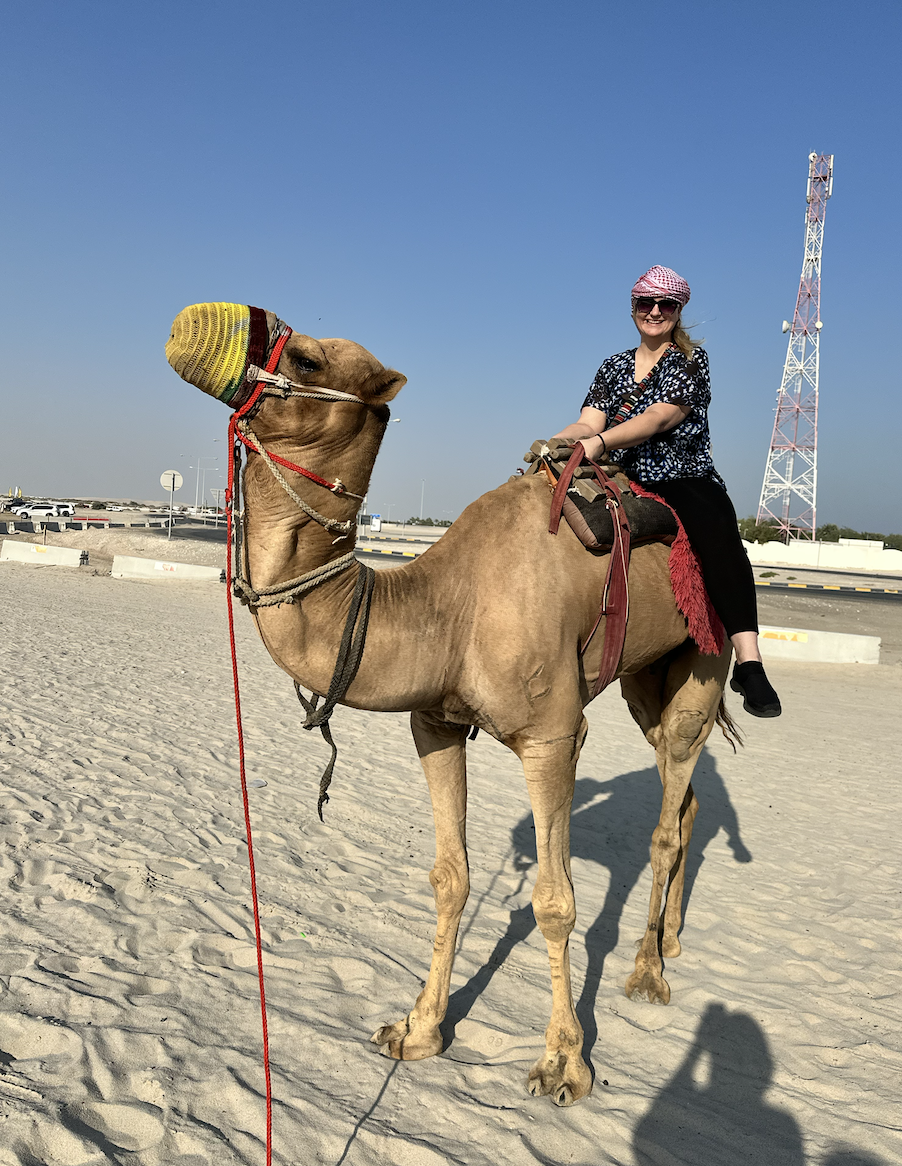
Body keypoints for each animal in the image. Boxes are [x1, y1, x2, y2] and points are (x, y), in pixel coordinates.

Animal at [165, 305, 736, 1105]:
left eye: (306, 358)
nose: (191, 323)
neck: (451, 607)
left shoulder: (554, 734)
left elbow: (554, 901)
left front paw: (564, 1064)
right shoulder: (434, 722)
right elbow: (451, 877)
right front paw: (418, 1029)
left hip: (705, 657)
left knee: (668, 810)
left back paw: (647, 974)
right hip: (641, 677)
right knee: (682, 800)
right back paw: (672, 940)